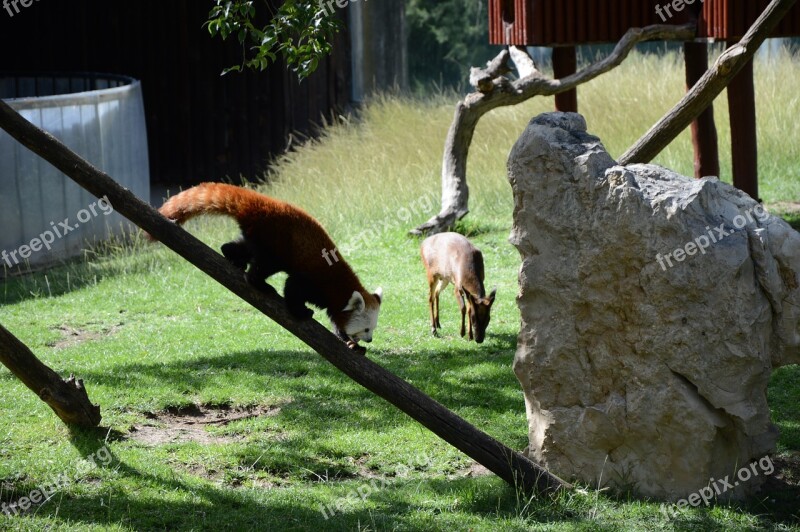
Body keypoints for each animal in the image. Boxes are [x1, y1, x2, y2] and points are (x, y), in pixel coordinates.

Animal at [158, 183, 382, 348]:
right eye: (366, 329)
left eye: (372, 328)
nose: (370, 339)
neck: (339, 286)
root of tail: (262, 204)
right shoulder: (315, 280)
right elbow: (293, 288)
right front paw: (301, 312)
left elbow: (335, 318)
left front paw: (347, 339)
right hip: (275, 241)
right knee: (262, 266)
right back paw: (259, 283)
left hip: (258, 236)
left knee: (241, 247)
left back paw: (232, 256)